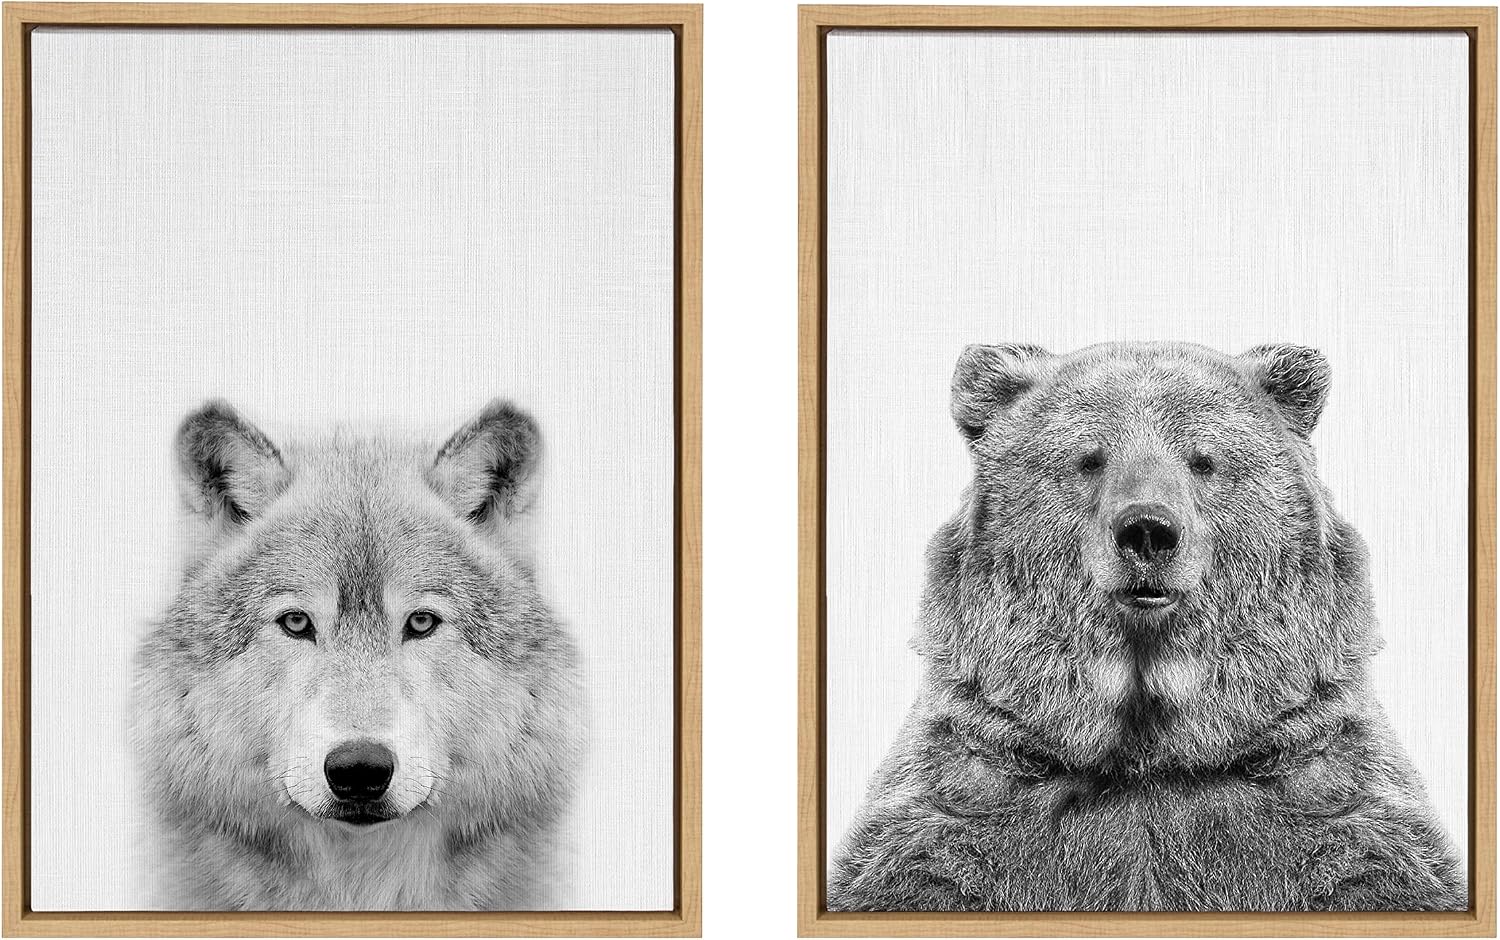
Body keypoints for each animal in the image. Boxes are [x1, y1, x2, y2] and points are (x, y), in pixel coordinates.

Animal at [827, 341, 1465, 912]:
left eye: (1202, 460)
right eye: (1090, 458)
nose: (1148, 531)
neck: (1150, 749)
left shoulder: (1329, 797)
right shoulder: (961, 801)